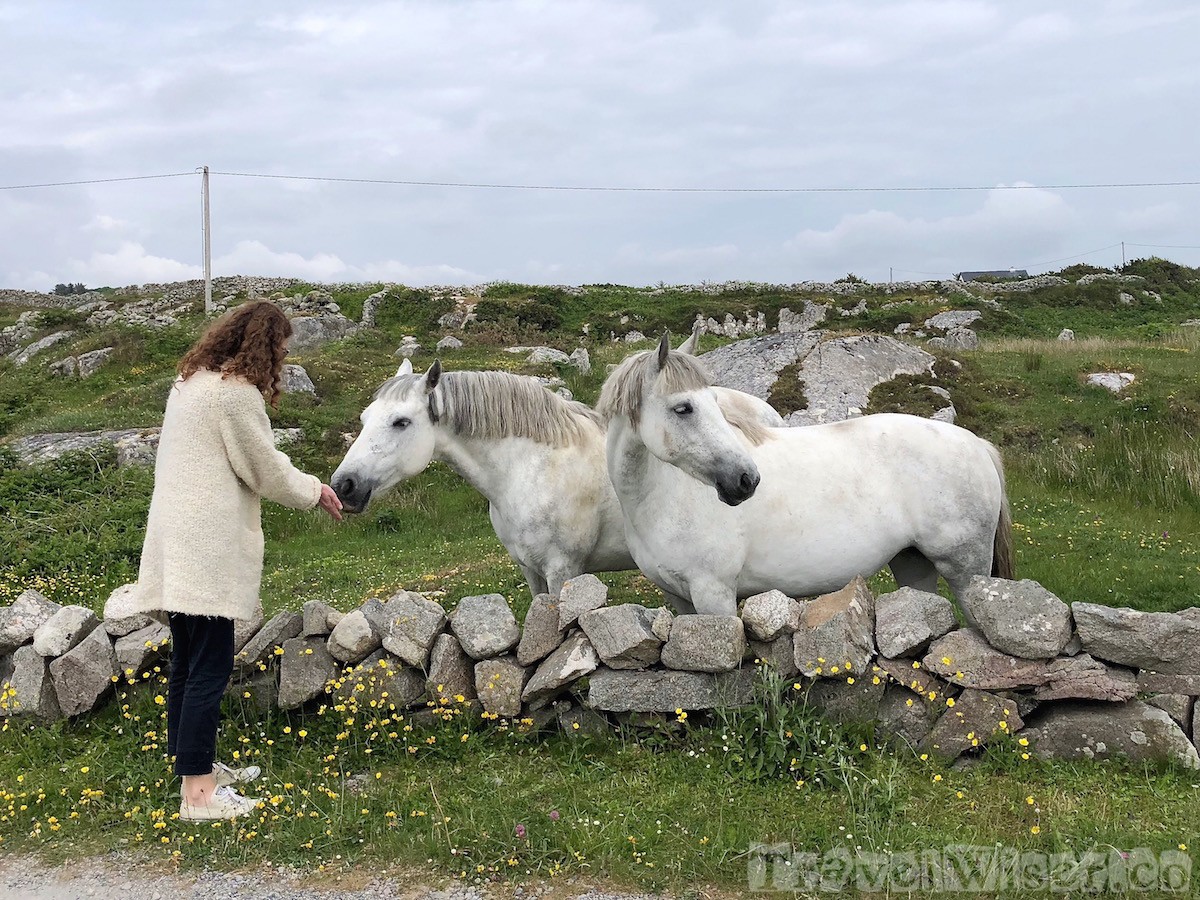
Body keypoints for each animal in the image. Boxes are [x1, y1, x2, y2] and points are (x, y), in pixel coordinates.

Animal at [331, 356, 783, 599]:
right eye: (365, 419)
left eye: (401, 422)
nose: (343, 486)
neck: (530, 468)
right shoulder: (529, 570)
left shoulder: (562, 570)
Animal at [595, 334, 1014, 616]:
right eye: (683, 408)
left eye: (715, 402)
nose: (746, 479)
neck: (664, 499)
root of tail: (976, 444)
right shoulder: (679, 600)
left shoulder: (714, 596)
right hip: (913, 564)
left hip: (967, 572)